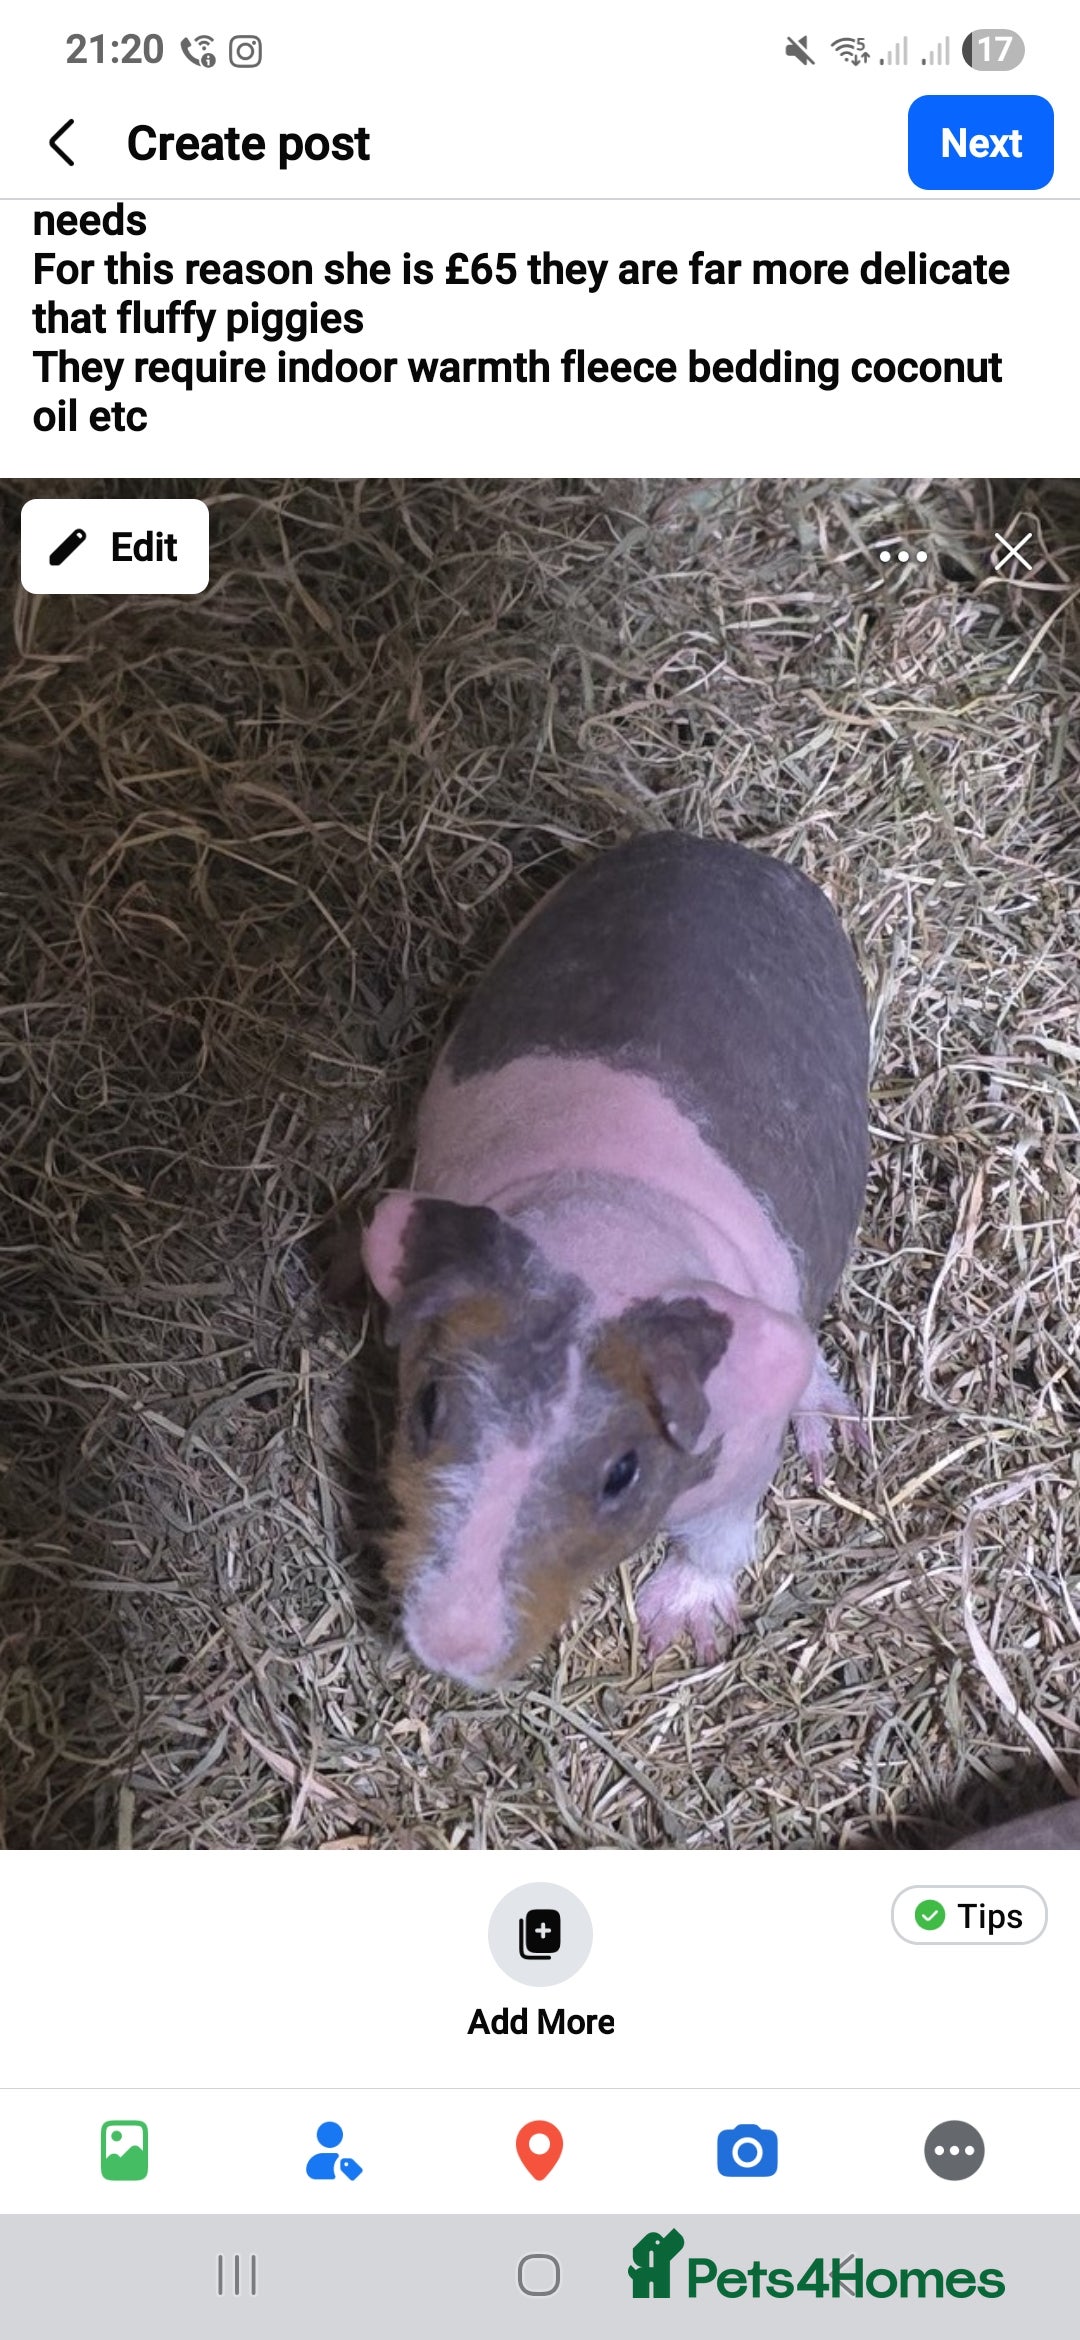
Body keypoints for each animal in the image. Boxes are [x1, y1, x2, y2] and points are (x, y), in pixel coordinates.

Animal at [336, 832, 869, 1688]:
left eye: (622, 1471)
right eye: (427, 1407)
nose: (451, 1650)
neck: (601, 1234)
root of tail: (721, 848)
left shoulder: (743, 1456)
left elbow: (720, 1536)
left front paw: (678, 1636)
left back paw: (833, 1438)